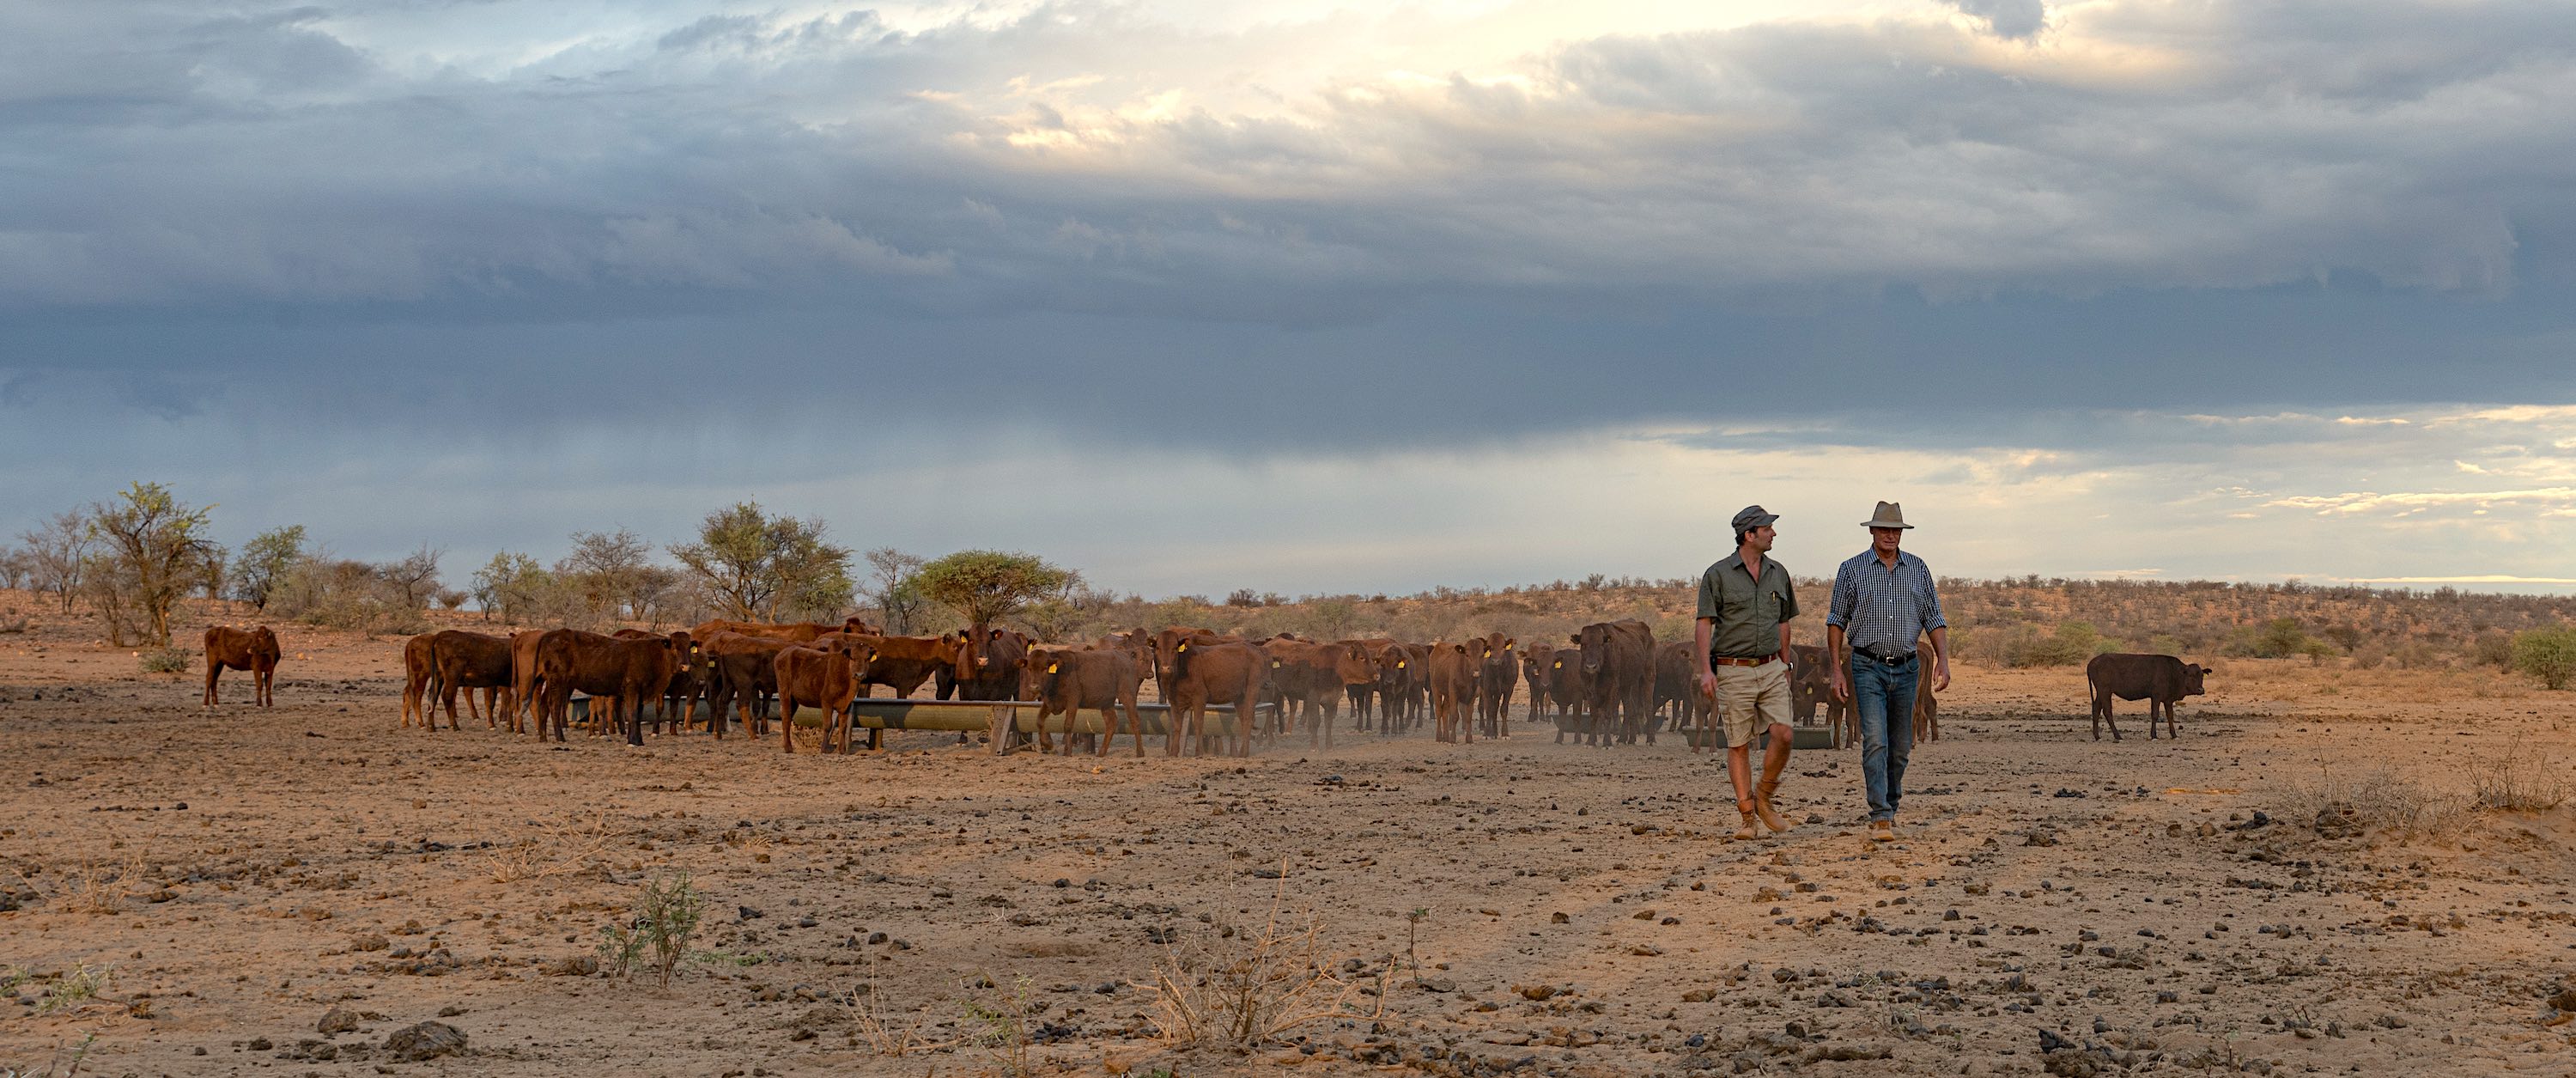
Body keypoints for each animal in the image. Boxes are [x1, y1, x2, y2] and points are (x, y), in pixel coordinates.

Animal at [1025, 647, 1149, 758]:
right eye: (1029, 668)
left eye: (1045, 668)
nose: (1034, 687)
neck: (1059, 673)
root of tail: (1126, 658)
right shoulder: (1049, 703)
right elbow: (1039, 721)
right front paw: (1049, 745)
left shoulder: (1072, 702)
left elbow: (1068, 725)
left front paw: (1067, 752)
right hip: (1107, 703)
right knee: (1111, 723)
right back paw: (1101, 753)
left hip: (1127, 696)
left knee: (1135, 720)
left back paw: (1140, 753)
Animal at [2081, 647, 2205, 742]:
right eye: (2191, 675)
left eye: (2202, 675)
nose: (2201, 690)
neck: (2172, 672)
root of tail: (2092, 662)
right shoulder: (2156, 697)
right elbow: (2155, 715)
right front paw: (2154, 736)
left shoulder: (2168, 700)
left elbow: (2170, 716)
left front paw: (2174, 735)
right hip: (2105, 691)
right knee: (2107, 711)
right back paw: (2118, 736)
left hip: (2101, 693)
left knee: (2096, 710)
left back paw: (2097, 737)